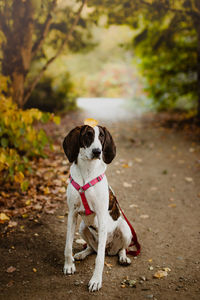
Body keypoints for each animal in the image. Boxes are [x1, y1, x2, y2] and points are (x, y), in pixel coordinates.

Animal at [62, 124, 134, 290]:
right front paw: (68, 265)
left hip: (125, 230)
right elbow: (68, 246)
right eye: (88, 135)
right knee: (91, 248)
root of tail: (109, 249)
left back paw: (123, 257)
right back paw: (82, 253)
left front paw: (96, 280)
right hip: (82, 227)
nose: (97, 151)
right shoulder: (72, 214)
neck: (87, 171)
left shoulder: (101, 216)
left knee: (120, 249)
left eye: (101, 136)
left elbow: (100, 259)